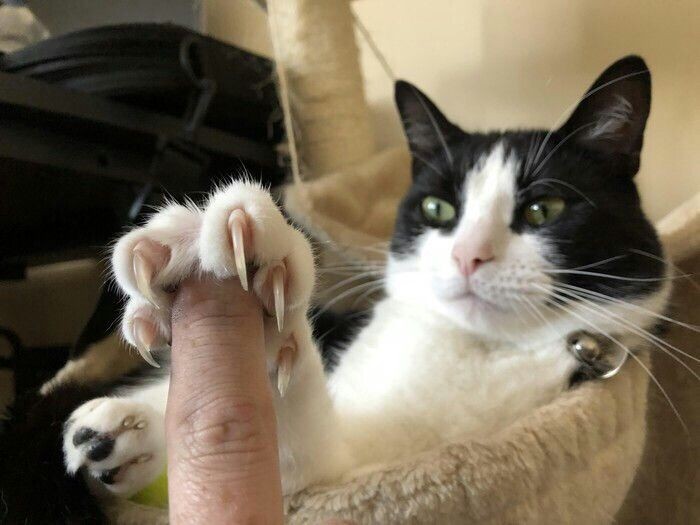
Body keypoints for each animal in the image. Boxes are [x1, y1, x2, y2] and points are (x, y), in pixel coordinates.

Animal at [62, 55, 670, 499]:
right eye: (437, 209)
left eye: (544, 209)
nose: (468, 256)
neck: (473, 348)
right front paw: (189, 258)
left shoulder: (350, 467)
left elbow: (301, 456)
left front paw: (264, 300)